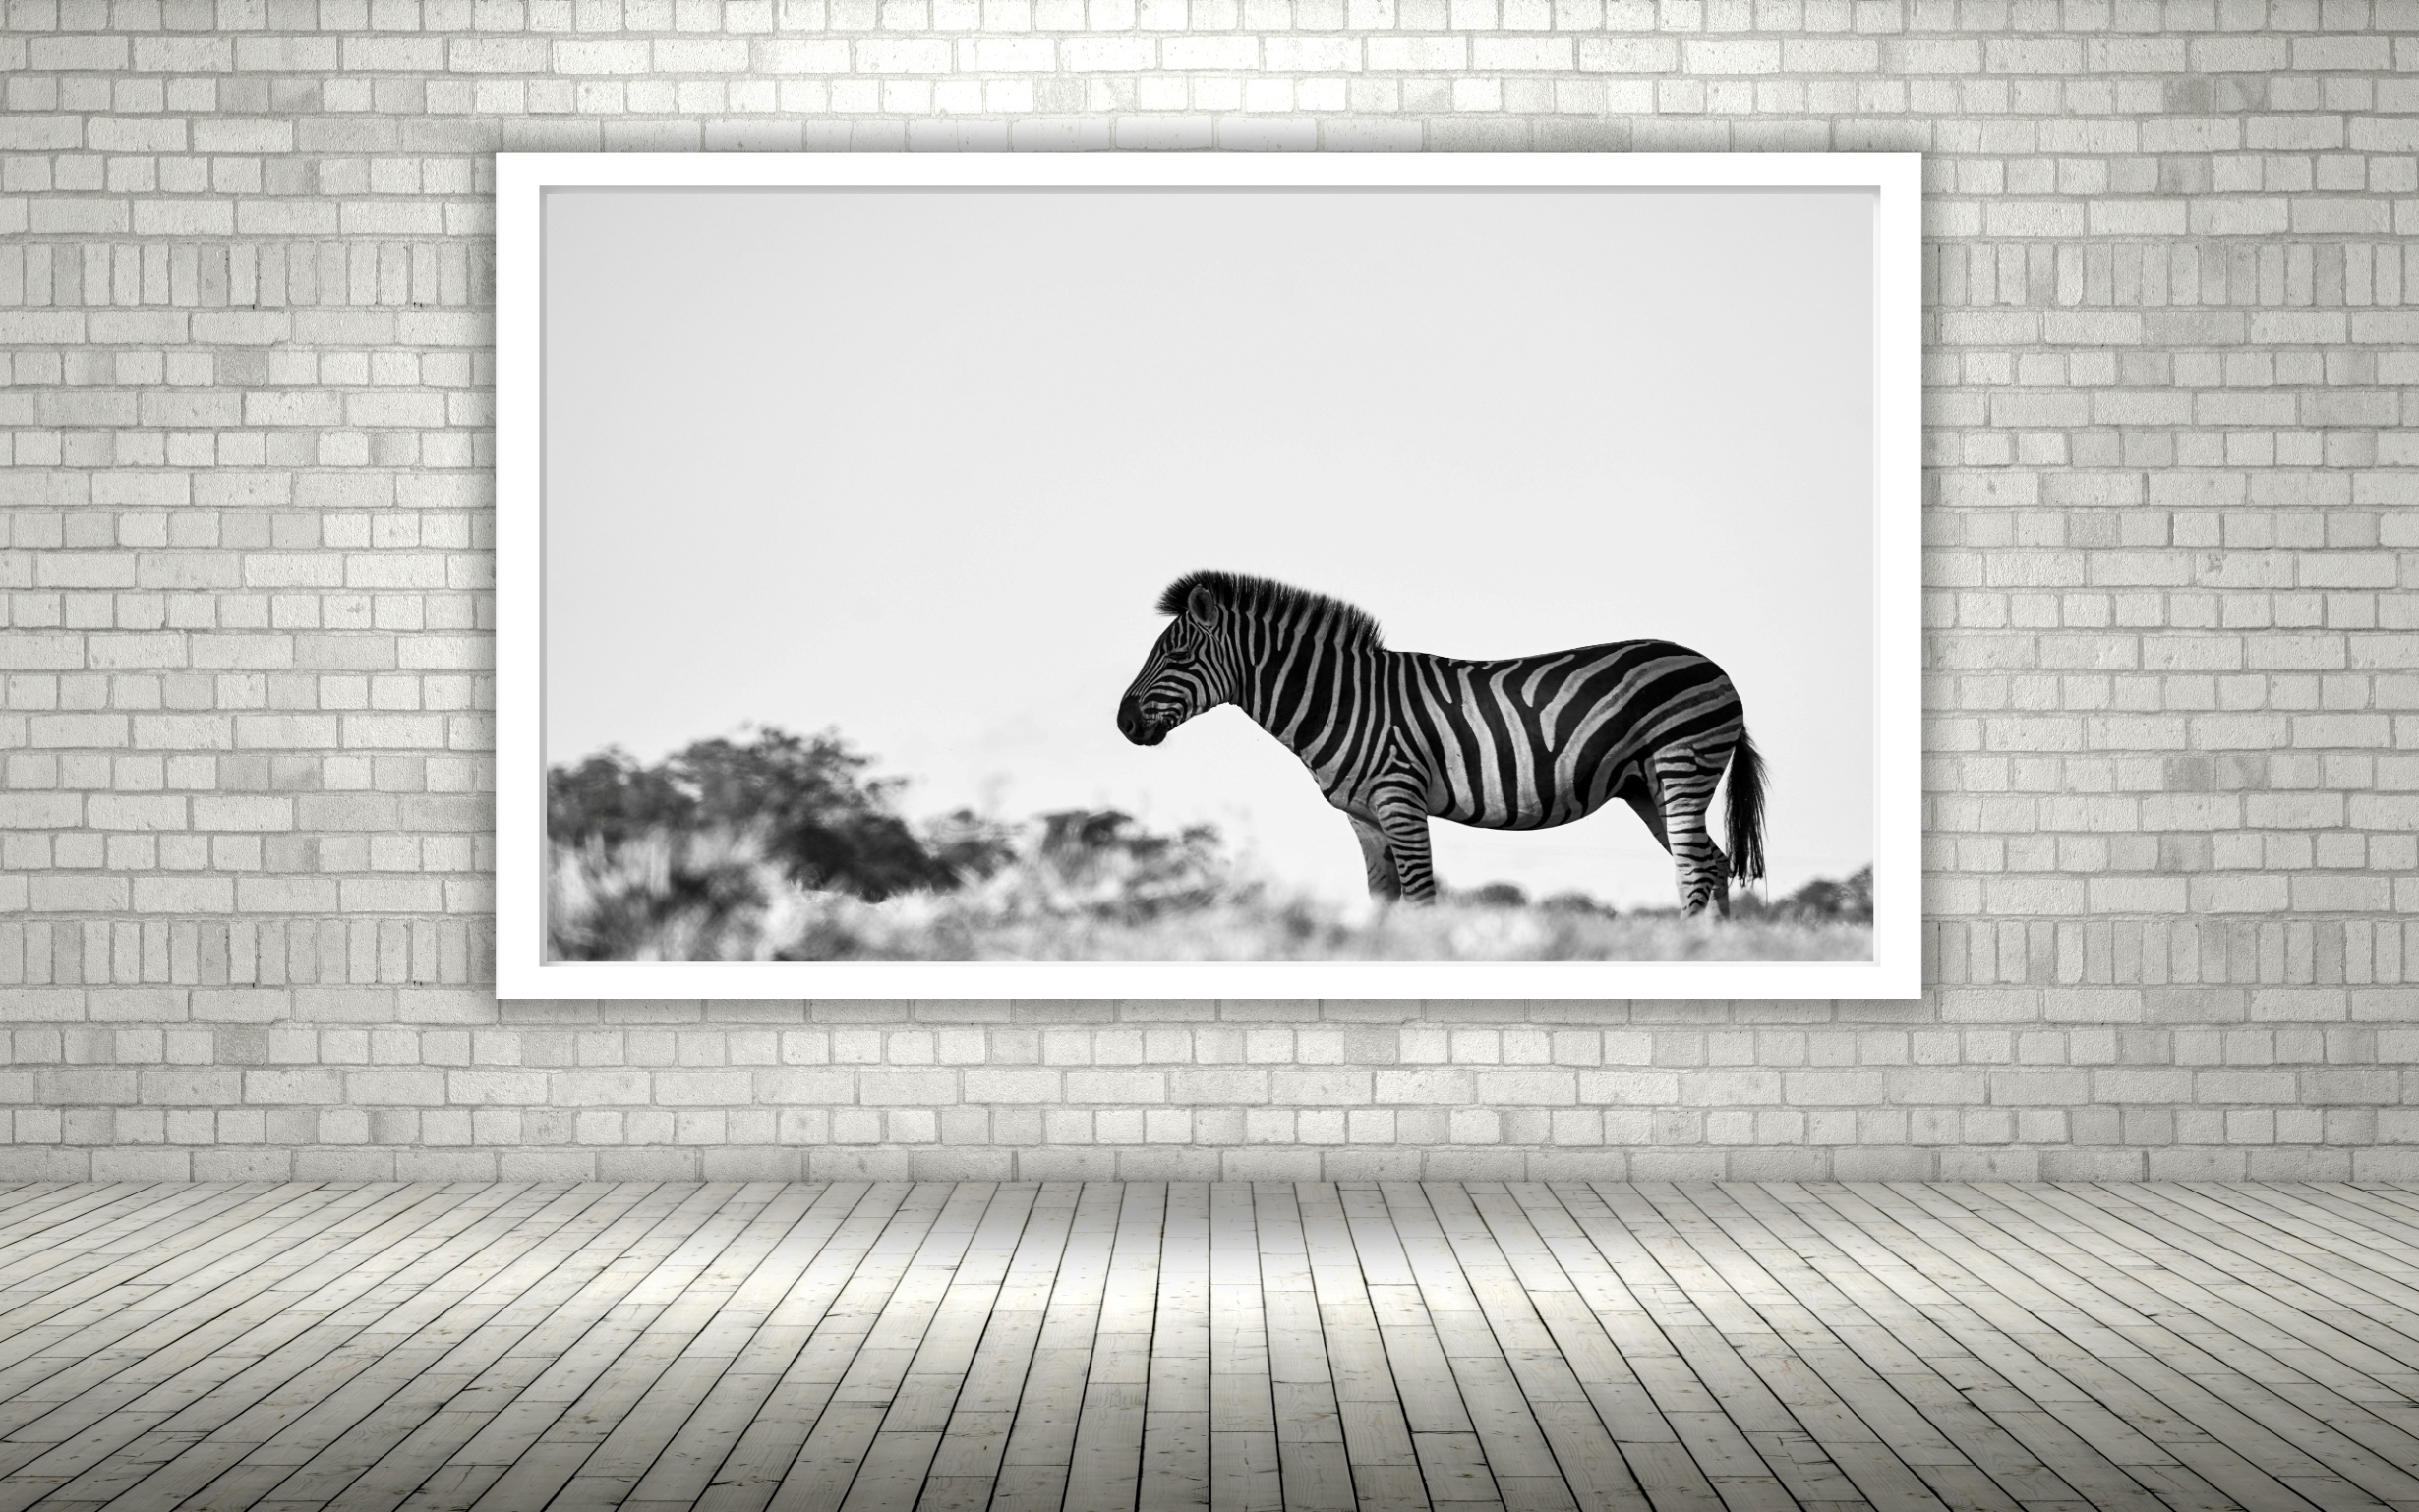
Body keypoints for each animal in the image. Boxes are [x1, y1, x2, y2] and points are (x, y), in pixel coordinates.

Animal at [1115, 571, 1765, 915]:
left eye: (1177, 655)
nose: (1123, 723)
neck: (1341, 698)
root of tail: (1716, 670)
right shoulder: (1364, 816)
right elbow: (1382, 900)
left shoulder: (1400, 799)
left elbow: (1422, 897)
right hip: (1645, 787)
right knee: (1712, 861)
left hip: (1681, 763)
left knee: (1694, 868)